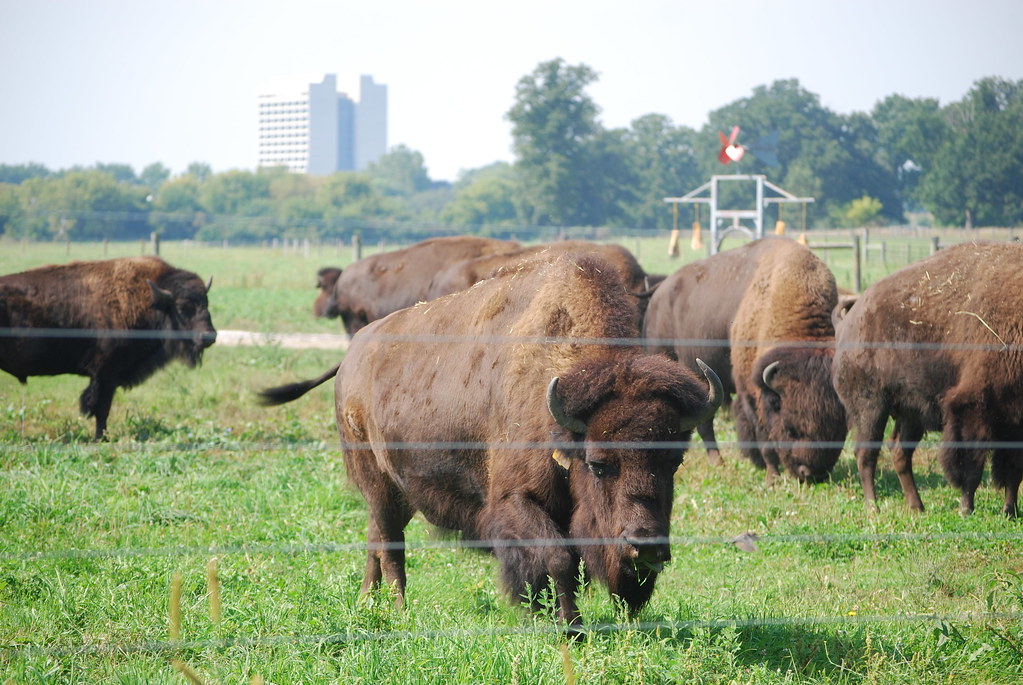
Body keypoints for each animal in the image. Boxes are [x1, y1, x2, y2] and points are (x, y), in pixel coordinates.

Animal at [0, 256, 216, 439]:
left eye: (206, 303)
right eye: (181, 307)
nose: (209, 336)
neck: (148, 300)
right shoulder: (105, 372)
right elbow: (101, 407)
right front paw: (101, 438)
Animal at [261, 253, 721, 627]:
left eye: (673, 462)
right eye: (598, 464)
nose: (645, 546)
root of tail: (353, 355)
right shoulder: (516, 502)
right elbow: (556, 558)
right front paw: (568, 627)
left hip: (395, 491)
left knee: (377, 536)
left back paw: (366, 601)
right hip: (378, 482)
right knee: (391, 546)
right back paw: (399, 610)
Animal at [644, 237, 846, 482]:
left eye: (842, 429)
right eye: (790, 427)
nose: (811, 474)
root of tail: (659, 293)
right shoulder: (750, 391)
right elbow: (763, 436)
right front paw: (772, 477)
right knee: (705, 425)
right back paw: (718, 462)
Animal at [832, 242, 1023, 516]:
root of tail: (846, 324)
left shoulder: (1015, 421)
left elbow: (1013, 471)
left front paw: (1010, 511)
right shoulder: (971, 409)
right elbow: (972, 467)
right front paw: (966, 509)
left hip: (910, 414)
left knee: (899, 452)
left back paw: (917, 506)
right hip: (871, 409)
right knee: (866, 454)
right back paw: (873, 506)